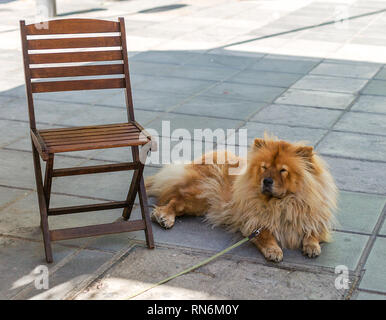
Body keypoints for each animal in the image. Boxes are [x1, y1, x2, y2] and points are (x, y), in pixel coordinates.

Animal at [146, 136, 336, 262]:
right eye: (264, 168)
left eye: (283, 170)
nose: (267, 180)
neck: (282, 203)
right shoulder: (253, 221)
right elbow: (266, 235)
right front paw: (274, 250)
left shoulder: (313, 217)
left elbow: (312, 231)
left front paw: (312, 246)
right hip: (200, 193)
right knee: (174, 201)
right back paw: (164, 217)